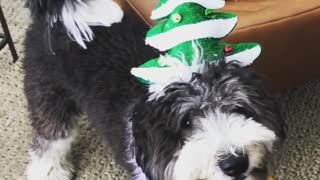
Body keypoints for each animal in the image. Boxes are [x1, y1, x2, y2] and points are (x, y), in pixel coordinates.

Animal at [24, 0, 284, 180]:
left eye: (239, 108)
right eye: (186, 122)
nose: (235, 163)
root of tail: (59, 16)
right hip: (48, 93)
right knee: (50, 137)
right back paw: (49, 172)